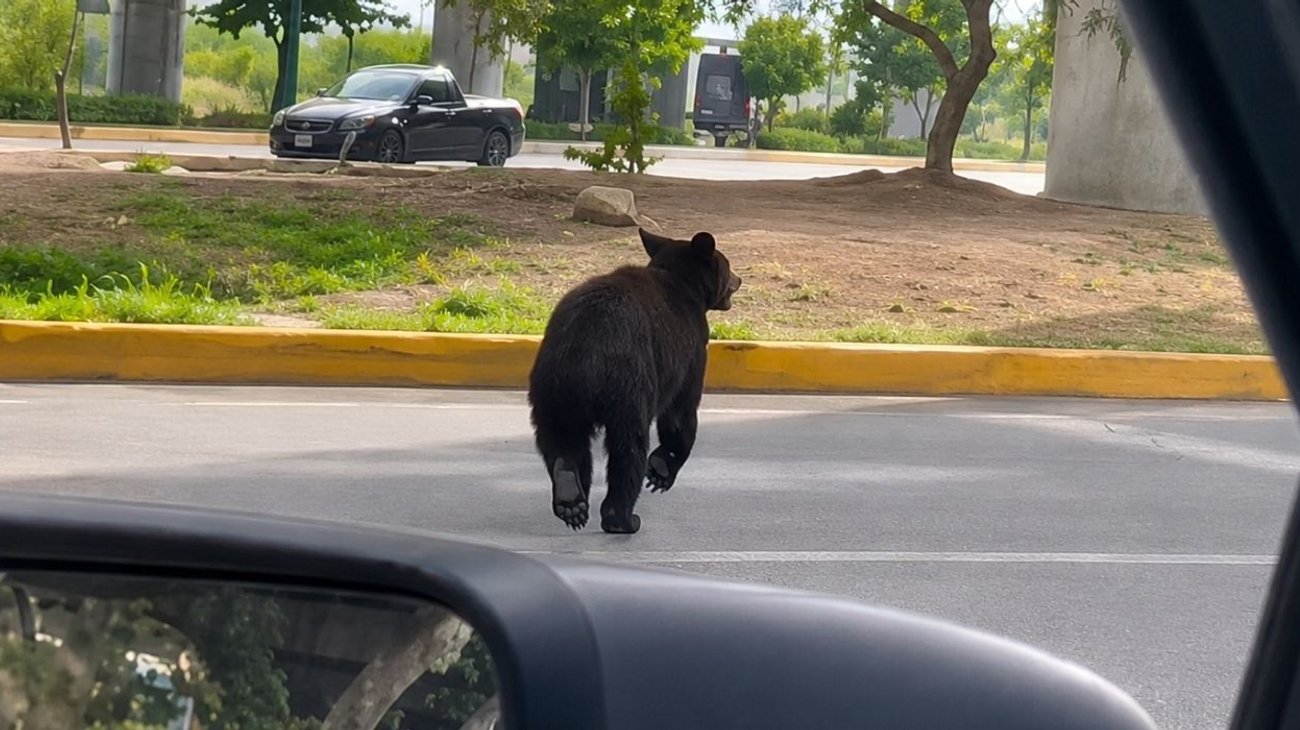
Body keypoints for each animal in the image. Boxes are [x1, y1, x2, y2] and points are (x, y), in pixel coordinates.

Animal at [527, 228, 742, 534]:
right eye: (727, 264)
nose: (739, 278)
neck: (681, 282)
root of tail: (584, 350)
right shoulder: (692, 347)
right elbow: (681, 410)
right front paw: (662, 469)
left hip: (551, 388)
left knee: (562, 440)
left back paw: (571, 498)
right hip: (629, 383)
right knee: (628, 448)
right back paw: (622, 518)